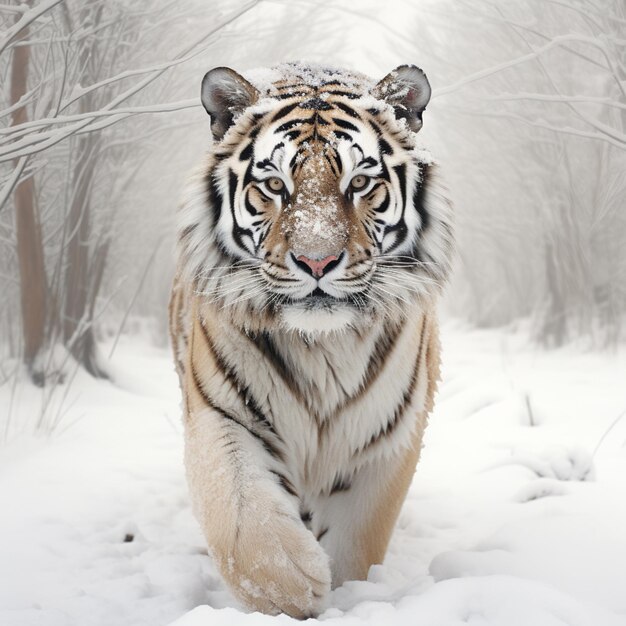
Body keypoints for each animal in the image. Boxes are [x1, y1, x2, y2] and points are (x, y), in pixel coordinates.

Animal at [169, 61, 454, 616]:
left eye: (360, 181)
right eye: (274, 184)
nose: (316, 262)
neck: (323, 347)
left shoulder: (385, 435)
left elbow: (357, 539)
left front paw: (342, 596)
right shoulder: (220, 411)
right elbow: (239, 515)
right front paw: (294, 585)